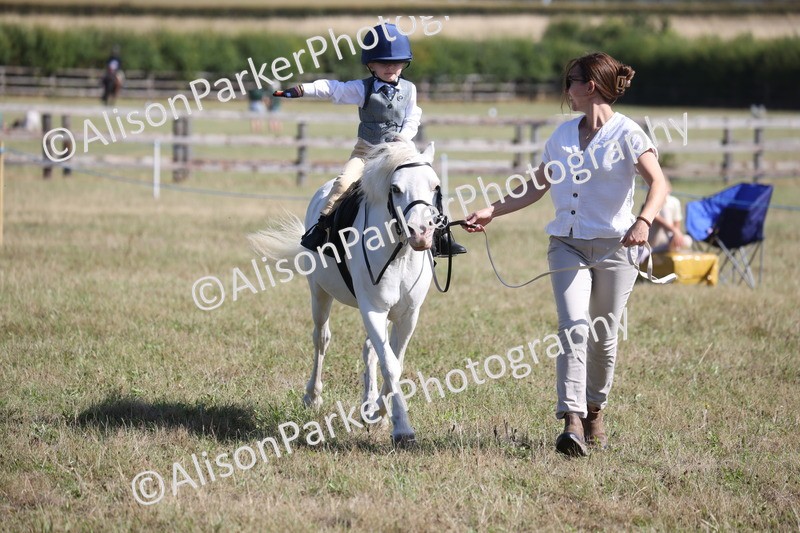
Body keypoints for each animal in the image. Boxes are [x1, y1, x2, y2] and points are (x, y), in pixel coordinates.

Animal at [249, 140, 440, 446]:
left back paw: (368, 404)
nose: (421, 234)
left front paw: (379, 414)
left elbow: (393, 362)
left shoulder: (408, 315)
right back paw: (312, 397)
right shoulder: (372, 309)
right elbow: (390, 365)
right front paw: (402, 428)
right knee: (321, 339)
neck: (397, 253)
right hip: (319, 293)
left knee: (370, 350)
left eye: (435, 186)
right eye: (396, 189)